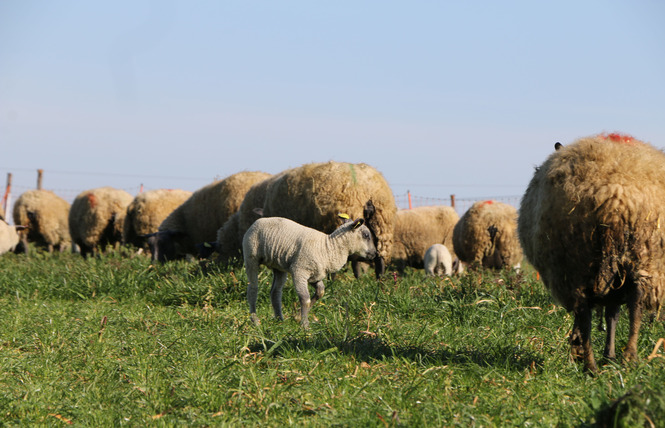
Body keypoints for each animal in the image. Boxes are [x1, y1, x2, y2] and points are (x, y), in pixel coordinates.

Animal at [241, 216, 376, 330]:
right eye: (366, 235)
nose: (375, 254)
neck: (328, 248)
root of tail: (257, 221)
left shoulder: (314, 276)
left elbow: (321, 292)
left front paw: (298, 316)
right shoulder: (299, 271)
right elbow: (305, 299)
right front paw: (305, 325)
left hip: (278, 266)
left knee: (275, 292)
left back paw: (280, 320)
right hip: (251, 256)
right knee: (253, 289)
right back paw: (255, 320)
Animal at [520, 132, 664, 372]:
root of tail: (614, 201)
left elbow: (610, 315)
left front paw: (601, 353)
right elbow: (612, 314)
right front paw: (608, 355)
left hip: (578, 262)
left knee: (588, 312)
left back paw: (592, 362)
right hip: (638, 258)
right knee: (633, 308)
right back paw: (622, 359)